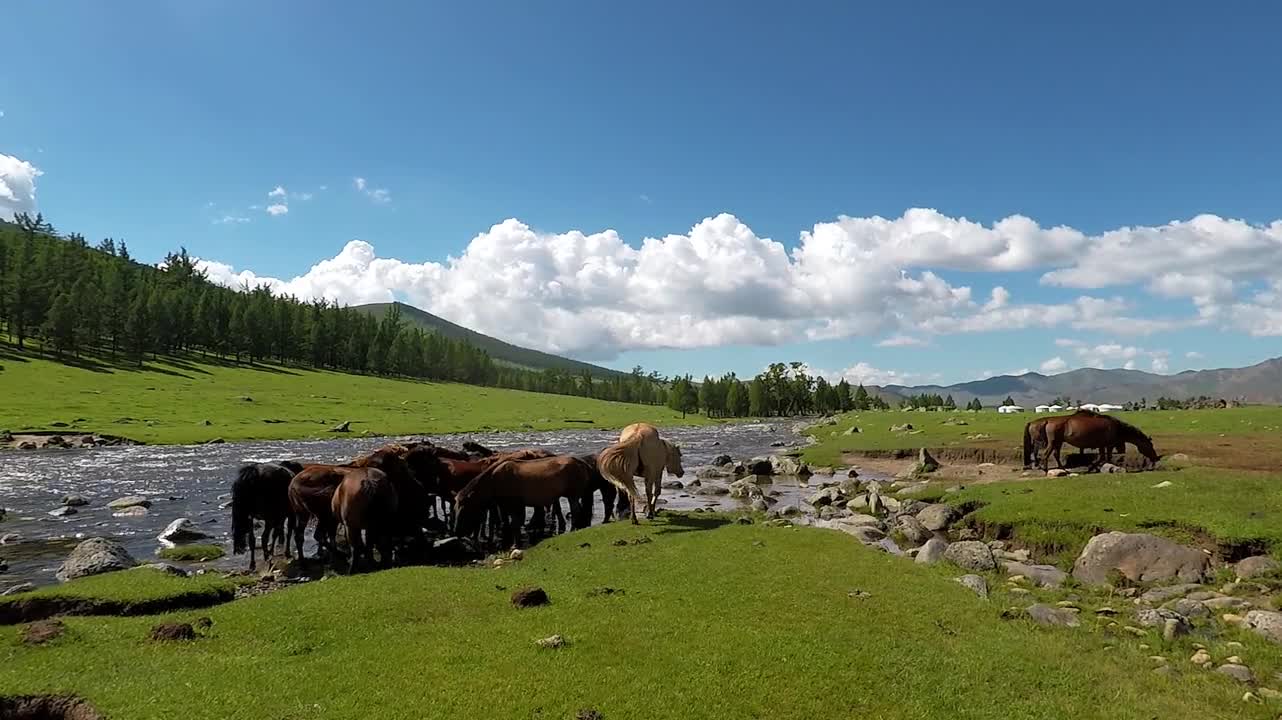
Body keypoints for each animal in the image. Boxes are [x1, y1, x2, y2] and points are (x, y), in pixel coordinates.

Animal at [453, 453, 592, 543]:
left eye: (465, 509)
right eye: (455, 508)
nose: (457, 532)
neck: (492, 484)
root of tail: (583, 464)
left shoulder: (514, 505)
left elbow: (515, 524)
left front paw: (515, 543)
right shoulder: (506, 506)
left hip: (573, 495)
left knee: (576, 512)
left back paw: (573, 529)